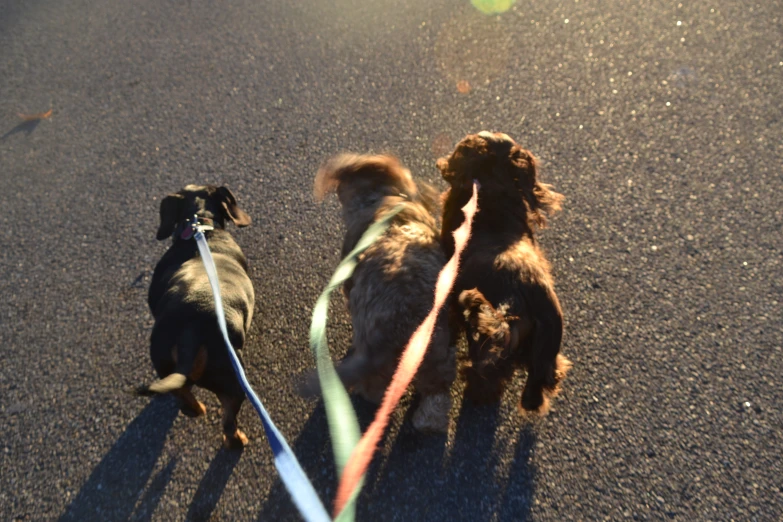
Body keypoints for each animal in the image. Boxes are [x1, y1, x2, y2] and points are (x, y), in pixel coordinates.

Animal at [138, 184, 254, 446]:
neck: (199, 227)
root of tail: (191, 331)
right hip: (234, 383)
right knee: (228, 423)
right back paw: (238, 441)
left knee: (185, 400)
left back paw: (197, 409)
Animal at [302, 151, 456, 430]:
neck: (386, 198)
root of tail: (403, 328)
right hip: (438, 353)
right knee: (437, 391)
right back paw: (429, 420)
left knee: (374, 387)